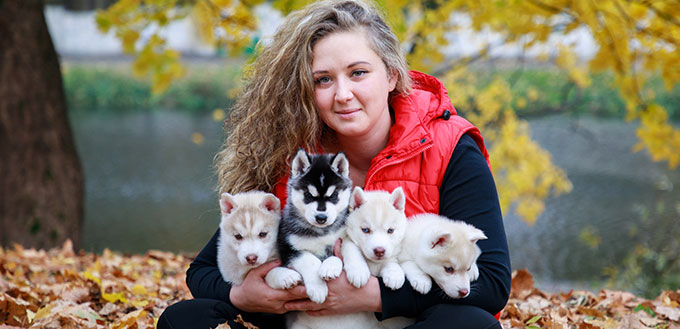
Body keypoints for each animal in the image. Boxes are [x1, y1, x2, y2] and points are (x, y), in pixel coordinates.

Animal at [264, 149, 354, 304]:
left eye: (333, 195)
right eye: (308, 195)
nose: (321, 217)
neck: (321, 232)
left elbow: (342, 251)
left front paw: (334, 268)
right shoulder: (289, 247)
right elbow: (310, 261)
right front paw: (318, 289)